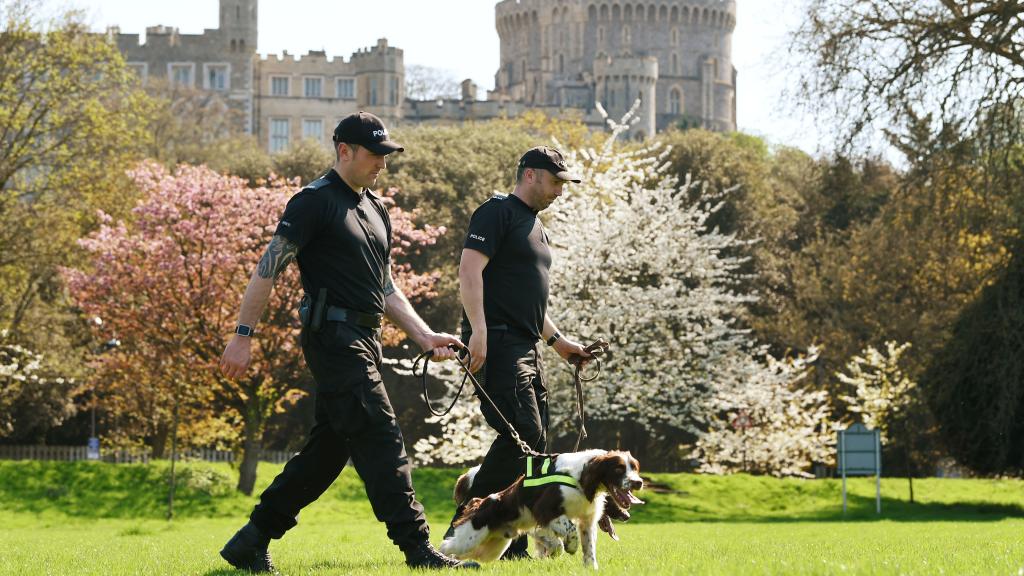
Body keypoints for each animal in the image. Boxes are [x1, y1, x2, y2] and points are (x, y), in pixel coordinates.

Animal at [438, 448, 638, 565]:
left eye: (635, 468)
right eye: (618, 469)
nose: (639, 482)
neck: (581, 476)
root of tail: (478, 501)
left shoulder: (586, 521)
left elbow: (588, 550)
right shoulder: (544, 511)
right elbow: (566, 532)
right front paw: (569, 546)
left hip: (494, 546)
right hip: (470, 538)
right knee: (447, 546)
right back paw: (443, 559)